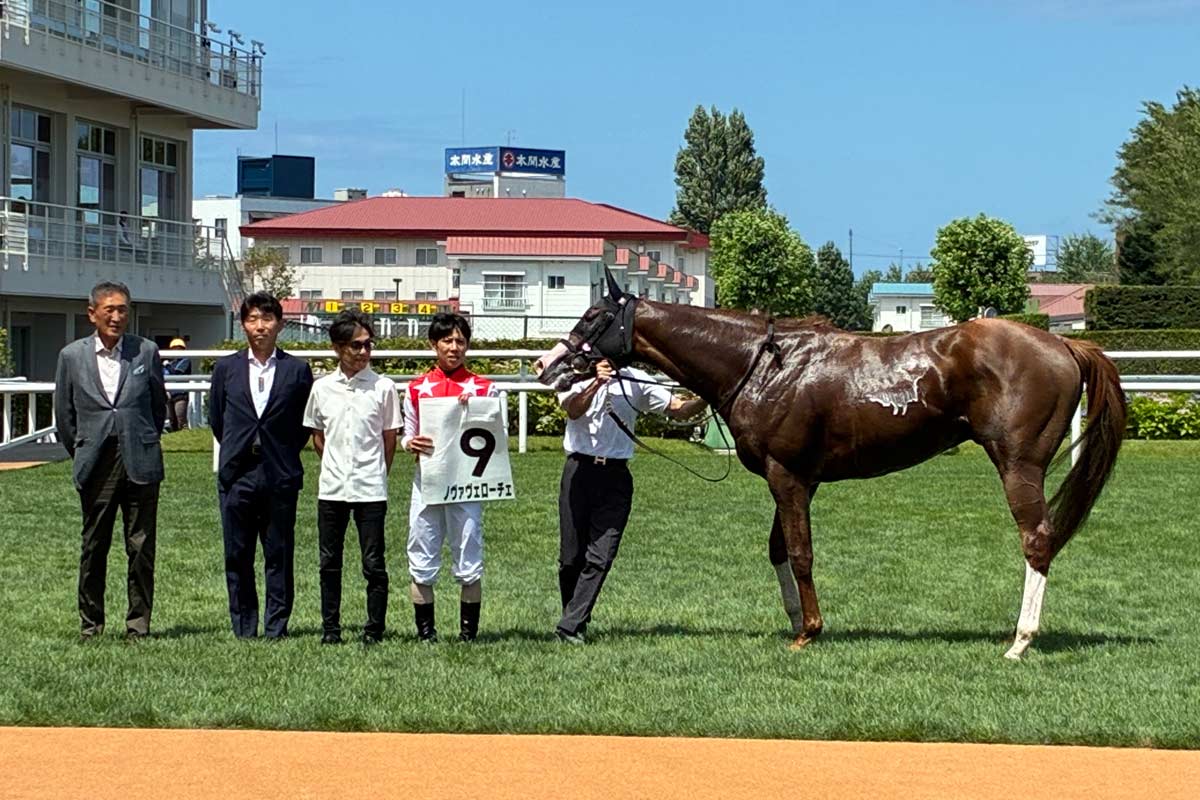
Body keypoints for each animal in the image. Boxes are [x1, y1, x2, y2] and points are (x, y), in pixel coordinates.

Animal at [533, 270, 1126, 659]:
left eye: (595, 317)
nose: (546, 364)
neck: (765, 366)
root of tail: (1064, 345)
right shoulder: (801, 480)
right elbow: (778, 550)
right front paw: (799, 624)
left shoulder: (788, 475)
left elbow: (800, 553)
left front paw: (811, 630)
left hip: (1019, 466)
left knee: (1037, 541)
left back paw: (1019, 642)